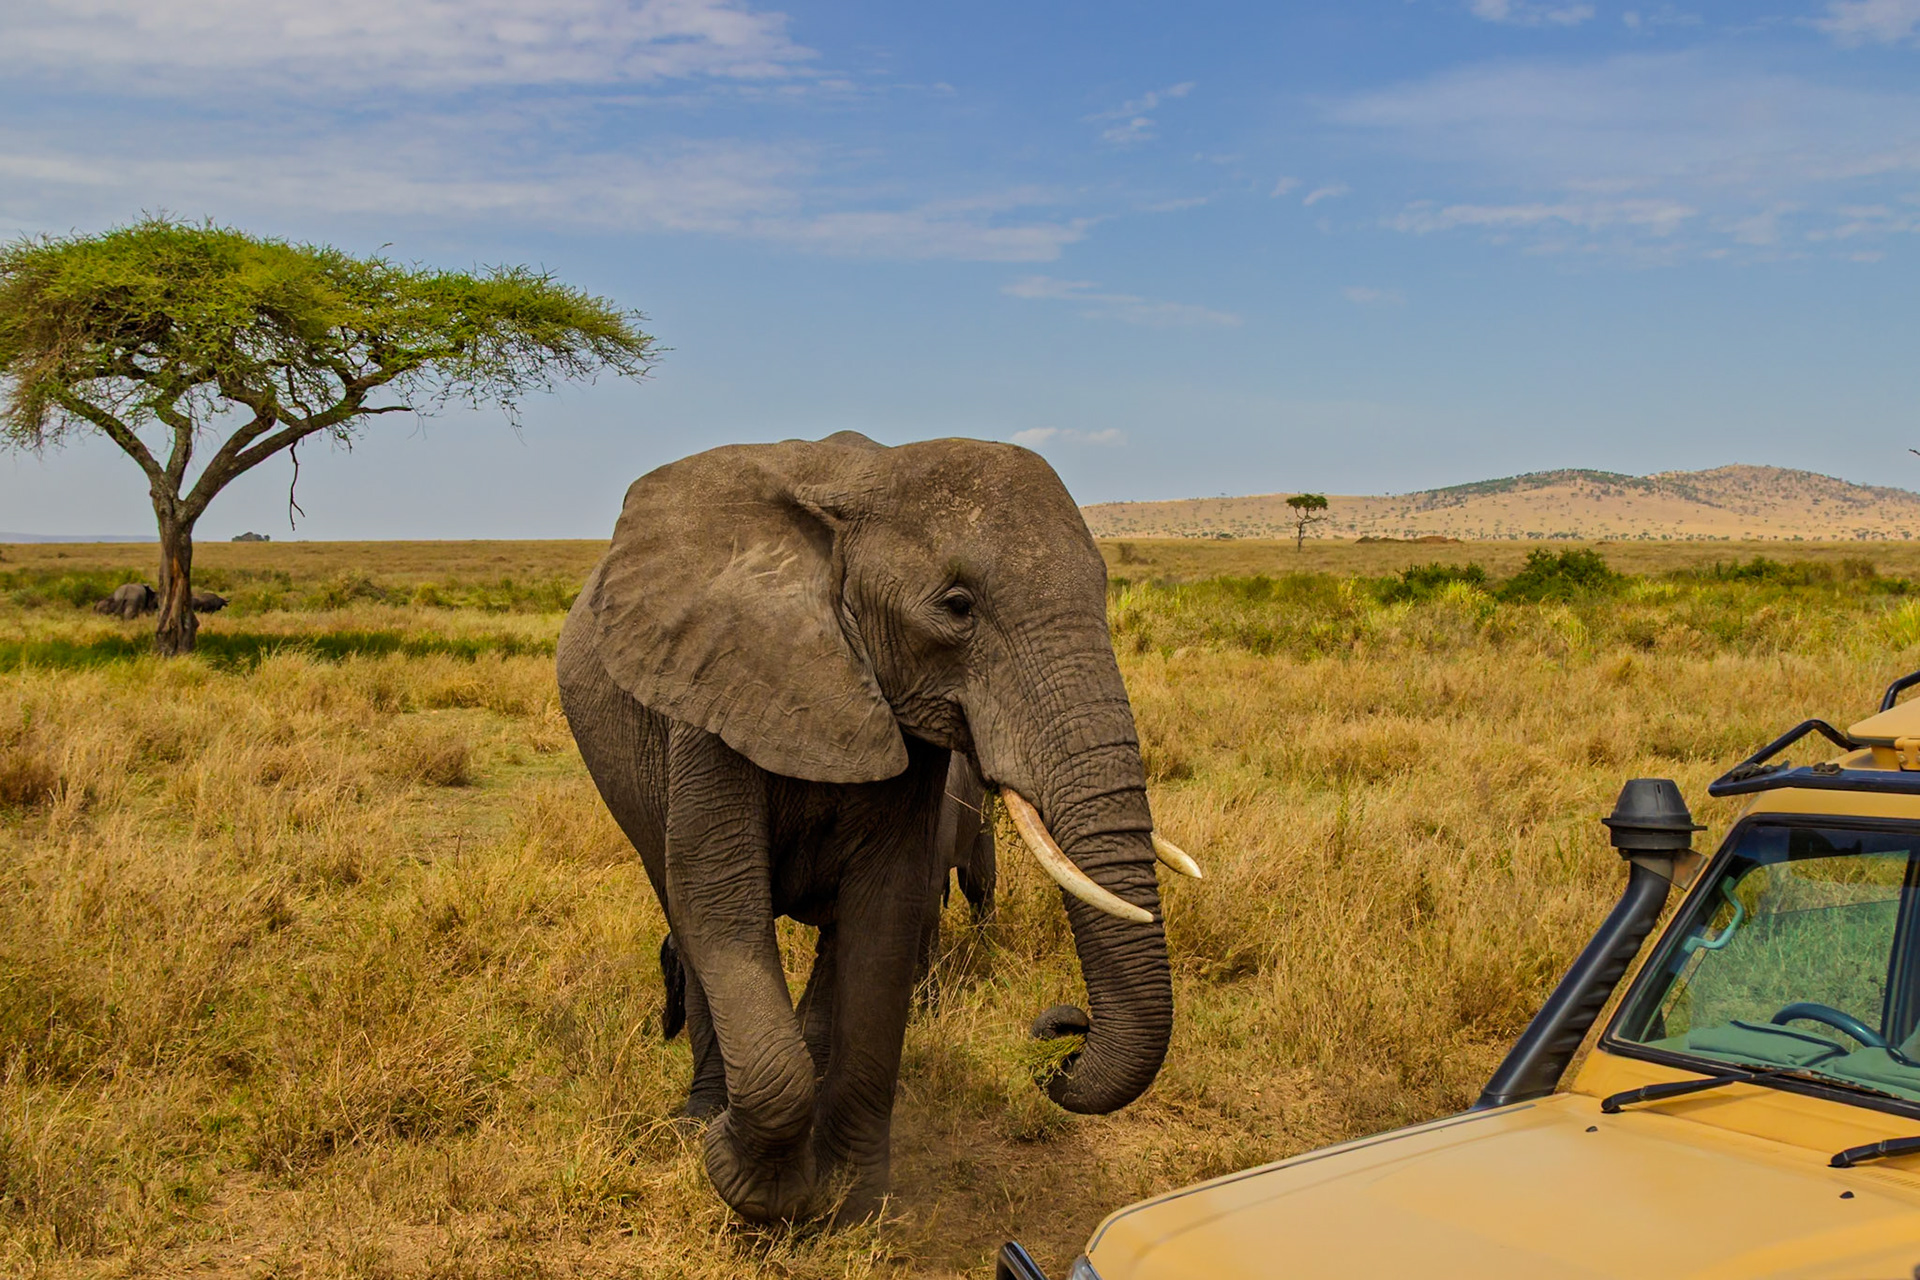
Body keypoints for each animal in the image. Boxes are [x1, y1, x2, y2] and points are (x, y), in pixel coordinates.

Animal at [556, 432, 1201, 1223]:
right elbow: (720, 908)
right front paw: (745, 1175)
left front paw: (850, 1205)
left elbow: (885, 913)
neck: (863, 481)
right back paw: (700, 1117)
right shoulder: (709, 697)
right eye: (957, 606)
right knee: (682, 909)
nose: (1063, 1034)